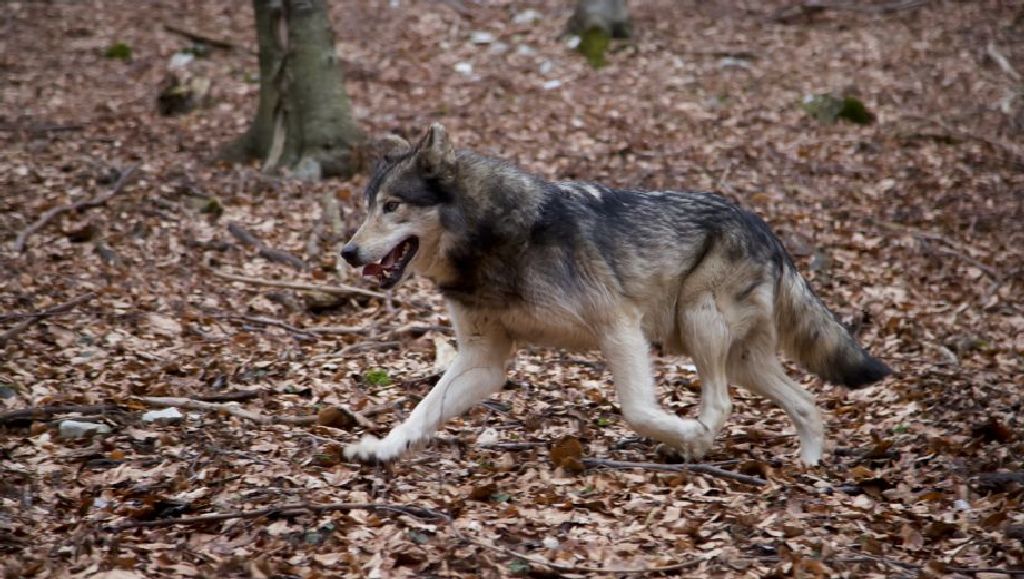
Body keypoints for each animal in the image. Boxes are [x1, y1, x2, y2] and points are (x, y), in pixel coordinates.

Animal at [339, 122, 892, 465]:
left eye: (391, 206)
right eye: (367, 206)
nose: (347, 251)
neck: (494, 236)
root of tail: (766, 229)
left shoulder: (620, 328)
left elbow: (637, 410)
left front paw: (687, 436)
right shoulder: (484, 360)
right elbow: (422, 410)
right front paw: (381, 449)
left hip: (699, 324)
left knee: (720, 405)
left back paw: (696, 445)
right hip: (735, 356)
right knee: (806, 402)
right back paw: (808, 466)